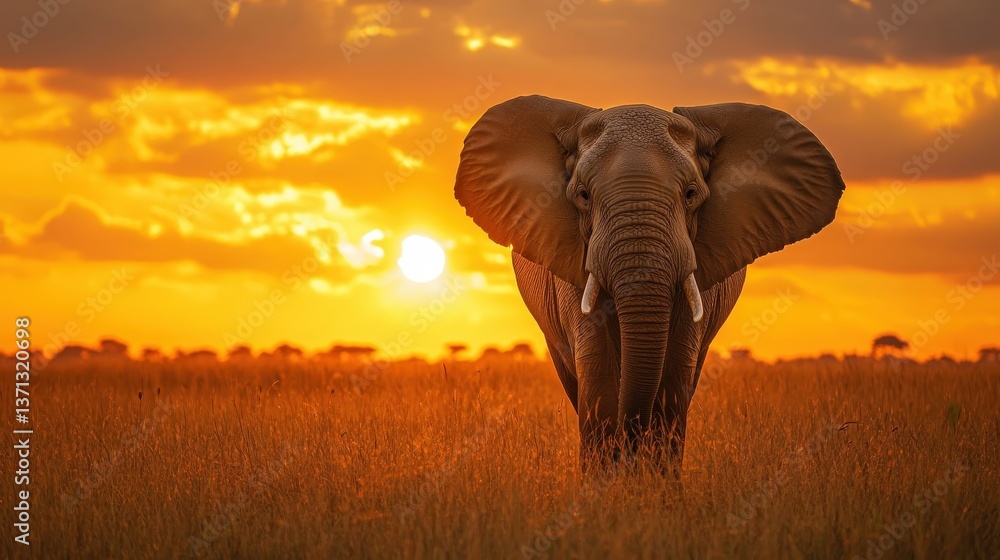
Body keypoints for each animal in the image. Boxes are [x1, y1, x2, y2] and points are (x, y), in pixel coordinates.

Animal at [453, 95, 845, 472]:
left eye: (691, 194)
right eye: (582, 195)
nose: (630, 450)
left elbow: (674, 374)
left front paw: (657, 487)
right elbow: (599, 371)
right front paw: (605, 487)